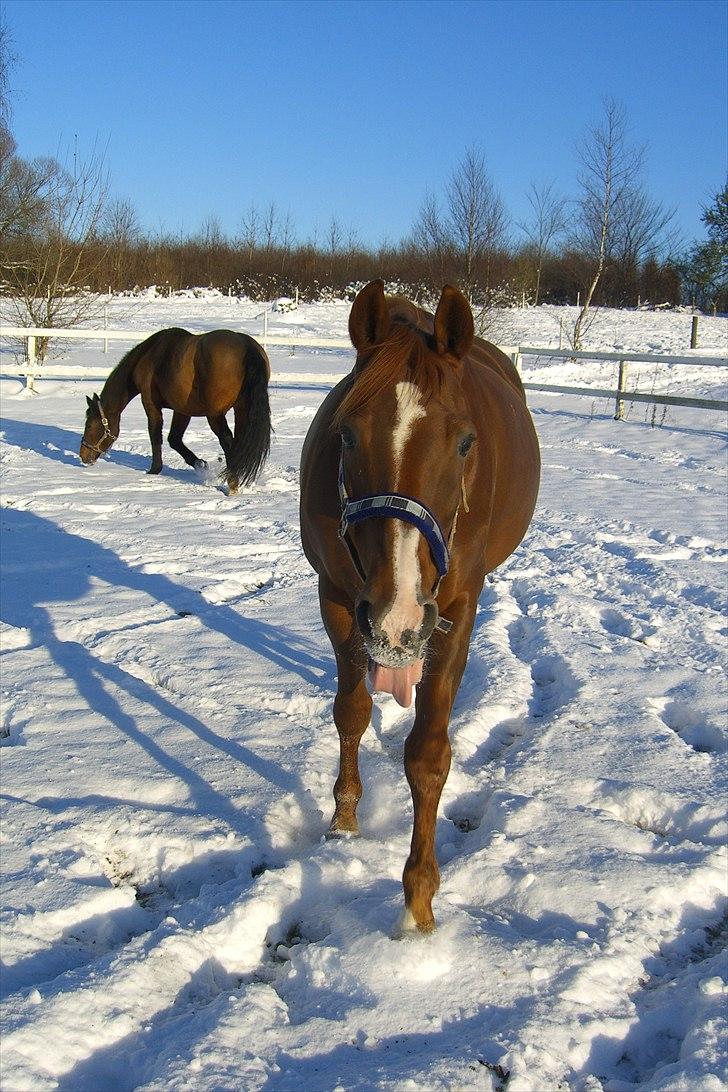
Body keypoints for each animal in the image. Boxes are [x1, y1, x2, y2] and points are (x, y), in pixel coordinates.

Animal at [79, 325, 272, 493]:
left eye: (89, 425)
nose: (83, 455)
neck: (150, 355)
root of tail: (246, 346)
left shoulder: (150, 404)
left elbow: (155, 436)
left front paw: (154, 470)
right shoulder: (182, 410)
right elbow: (174, 439)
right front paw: (200, 464)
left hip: (215, 415)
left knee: (227, 441)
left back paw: (232, 485)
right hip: (241, 410)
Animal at [301, 281, 541, 930]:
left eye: (465, 442)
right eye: (347, 434)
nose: (399, 620)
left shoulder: (454, 608)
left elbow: (429, 754)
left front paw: (418, 901)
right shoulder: (339, 599)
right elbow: (352, 711)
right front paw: (344, 821)